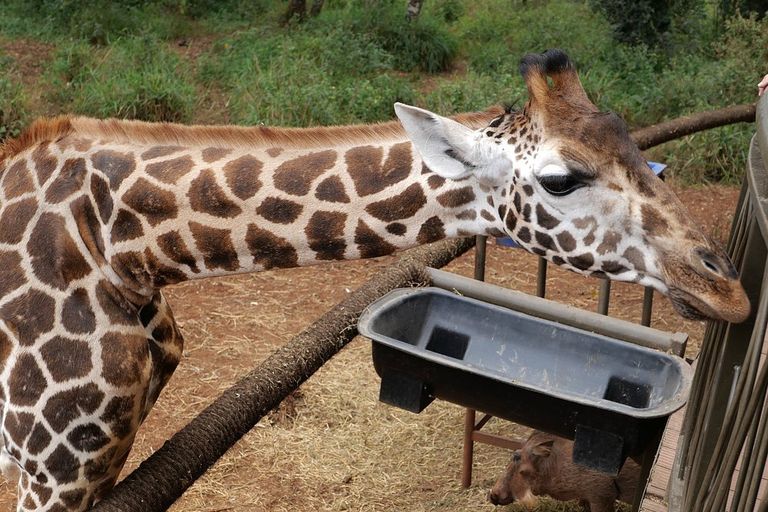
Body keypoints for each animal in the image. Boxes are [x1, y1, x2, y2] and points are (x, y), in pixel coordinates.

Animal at [0, 49, 749, 511]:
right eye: (562, 179)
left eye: (633, 143)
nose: (729, 289)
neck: (125, 248)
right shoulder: (52, 462)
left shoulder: (94, 456)